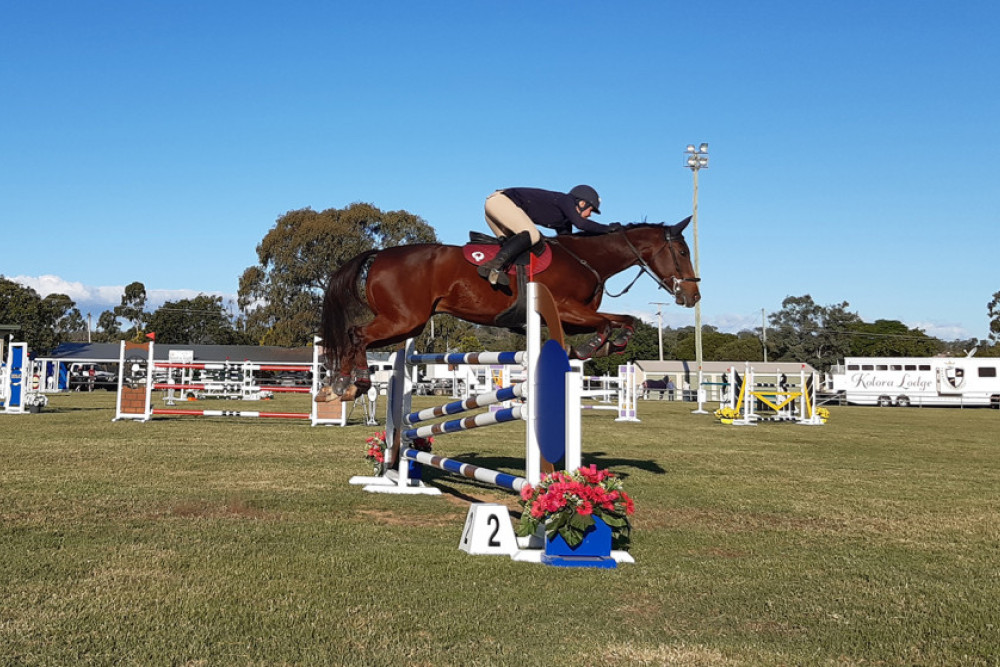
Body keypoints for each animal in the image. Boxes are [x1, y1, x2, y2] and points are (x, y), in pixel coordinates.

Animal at [316, 218, 700, 402]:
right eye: (682, 252)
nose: (693, 296)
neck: (585, 258)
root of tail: (379, 255)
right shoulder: (565, 310)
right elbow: (616, 321)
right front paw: (595, 346)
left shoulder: (574, 318)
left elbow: (621, 320)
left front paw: (605, 345)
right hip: (404, 320)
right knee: (357, 335)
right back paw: (351, 384)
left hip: (408, 325)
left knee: (355, 337)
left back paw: (336, 386)